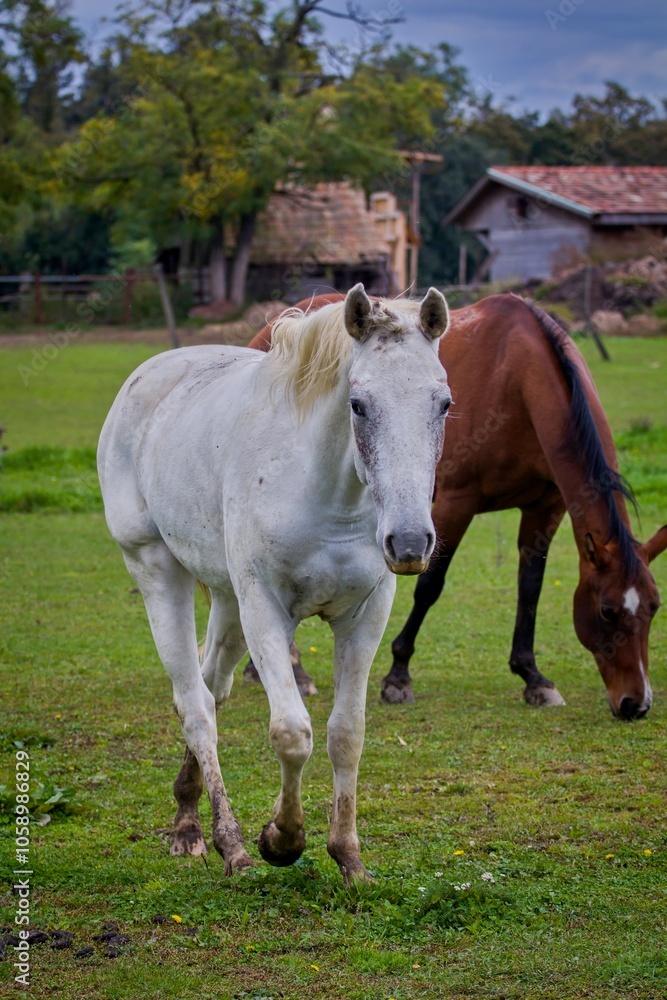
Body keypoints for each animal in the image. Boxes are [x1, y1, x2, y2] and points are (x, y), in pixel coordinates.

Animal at [97, 284, 452, 881]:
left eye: (443, 403)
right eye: (358, 405)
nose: (409, 543)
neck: (327, 497)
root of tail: (149, 373)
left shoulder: (365, 614)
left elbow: (345, 735)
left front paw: (349, 856)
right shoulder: (266, 608)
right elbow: (291, 732)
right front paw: (281, 839)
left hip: (226, 599)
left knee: (211, 687)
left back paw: (190, 817)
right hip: (159, 570)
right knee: (195, 704)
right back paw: (225, 842)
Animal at [248, 293, 666, 720]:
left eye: (653, 608)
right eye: (607, 611)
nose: (636, 702)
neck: (520, 379)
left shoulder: (546, 506)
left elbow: (530, 586)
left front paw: (533, 677)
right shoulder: (455, 502)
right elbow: (430, 585)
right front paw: (398, 675)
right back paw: (294, 670)